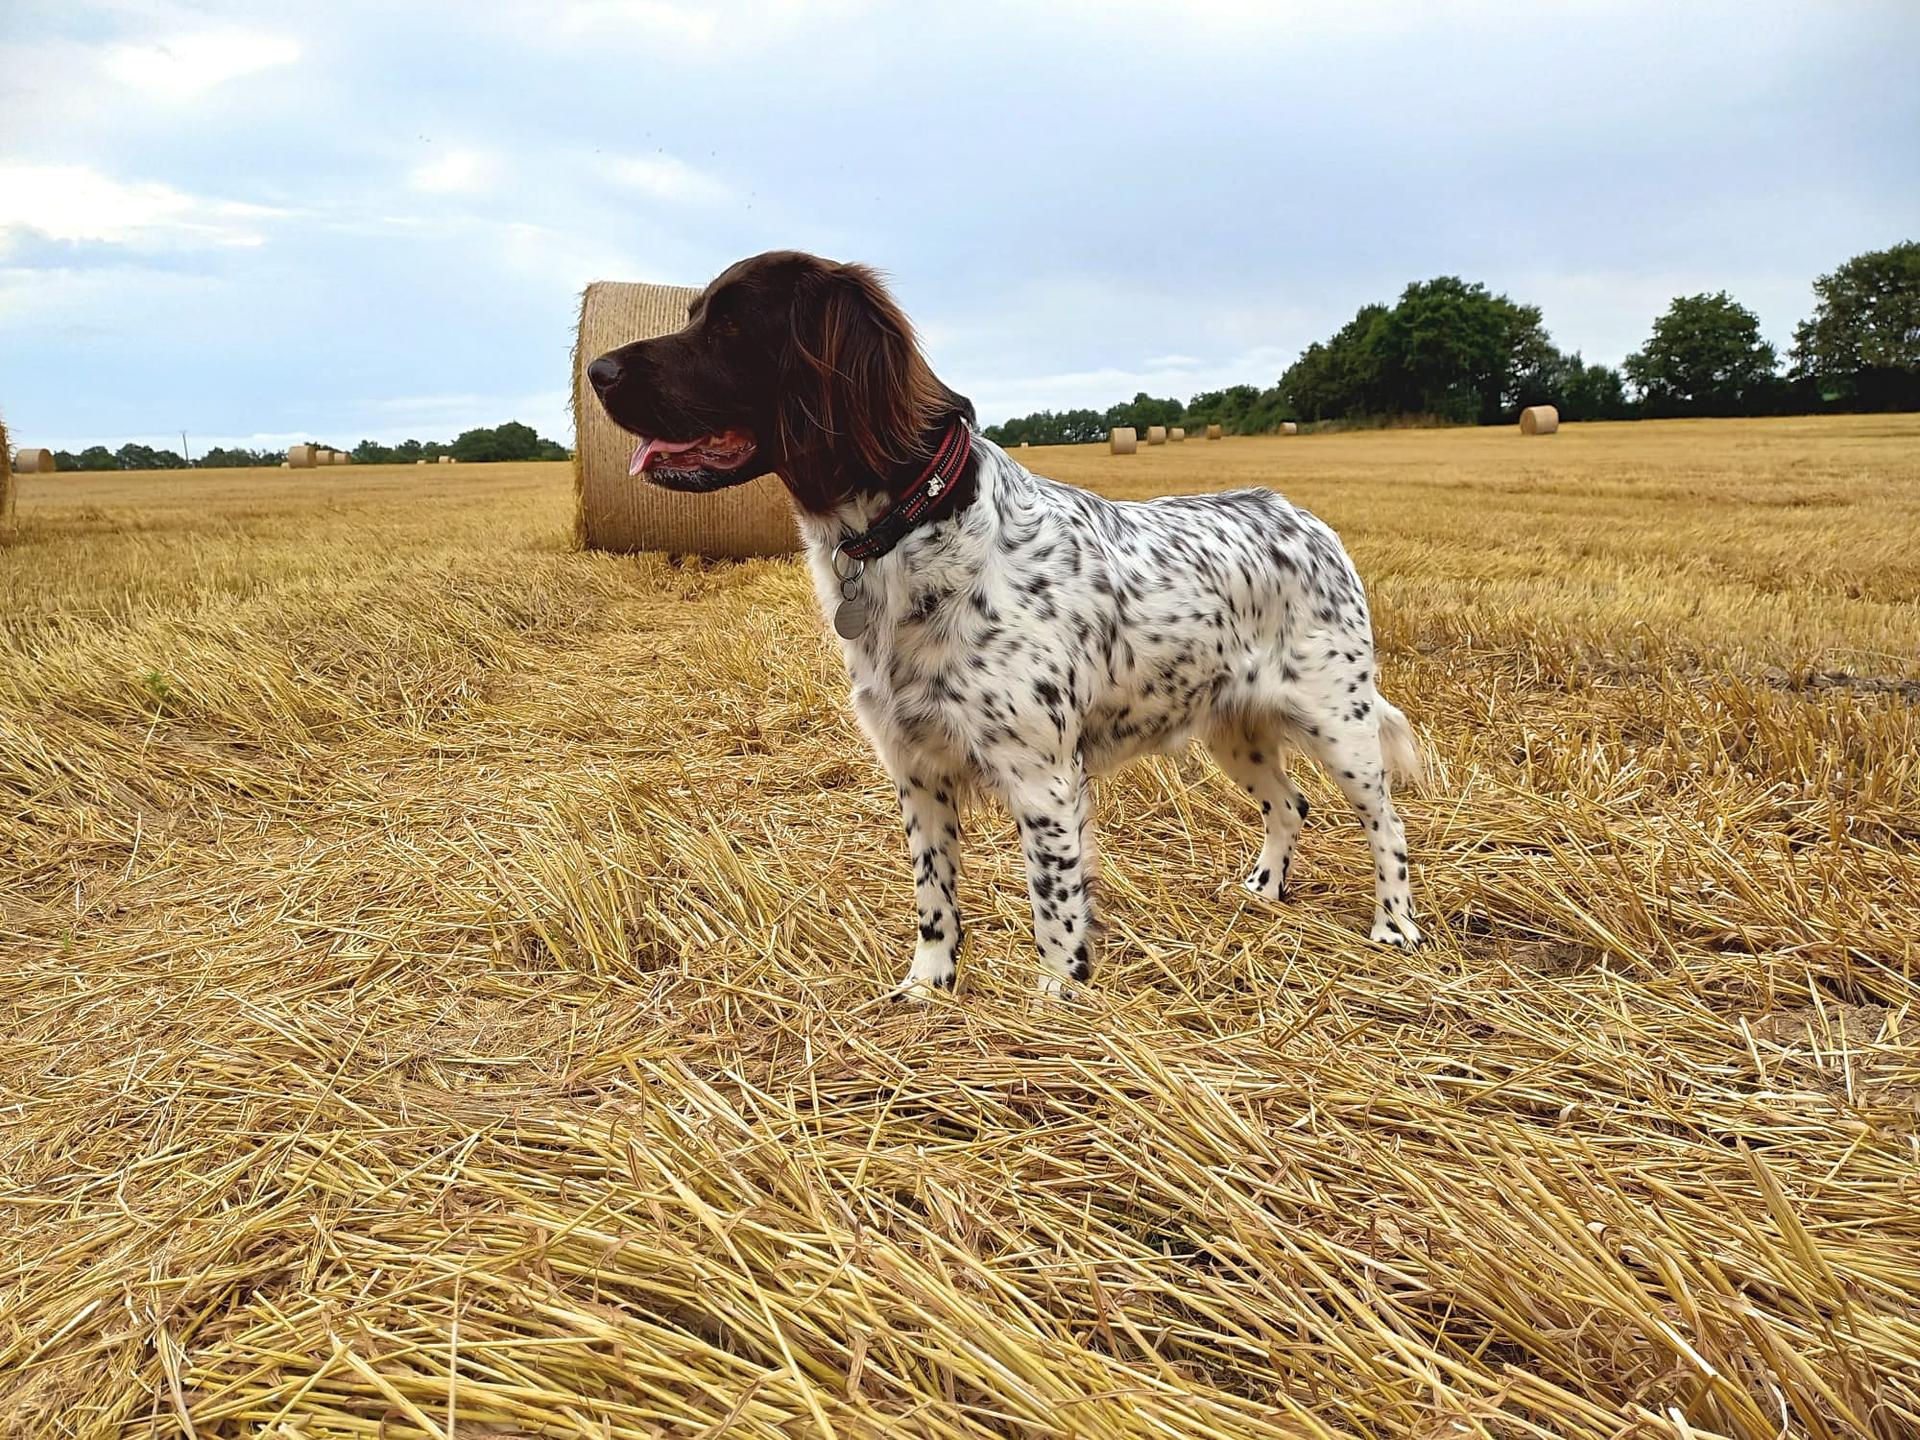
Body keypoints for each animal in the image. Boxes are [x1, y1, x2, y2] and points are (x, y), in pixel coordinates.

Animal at [579, 253, 1413, 998]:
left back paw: (1396, 926)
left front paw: (1056, 1007)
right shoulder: (914, 767)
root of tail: (1305, 516)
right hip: (1230, 727)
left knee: (1387, 824)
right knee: (1289, 803)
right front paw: (929, 986)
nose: (596, 370)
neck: (909, 527)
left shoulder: (1043, 777)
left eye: (730, 325)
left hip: (1340, 724)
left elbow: (1055, 911)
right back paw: (1264, 889)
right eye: (693, 314)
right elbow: (934, 898)